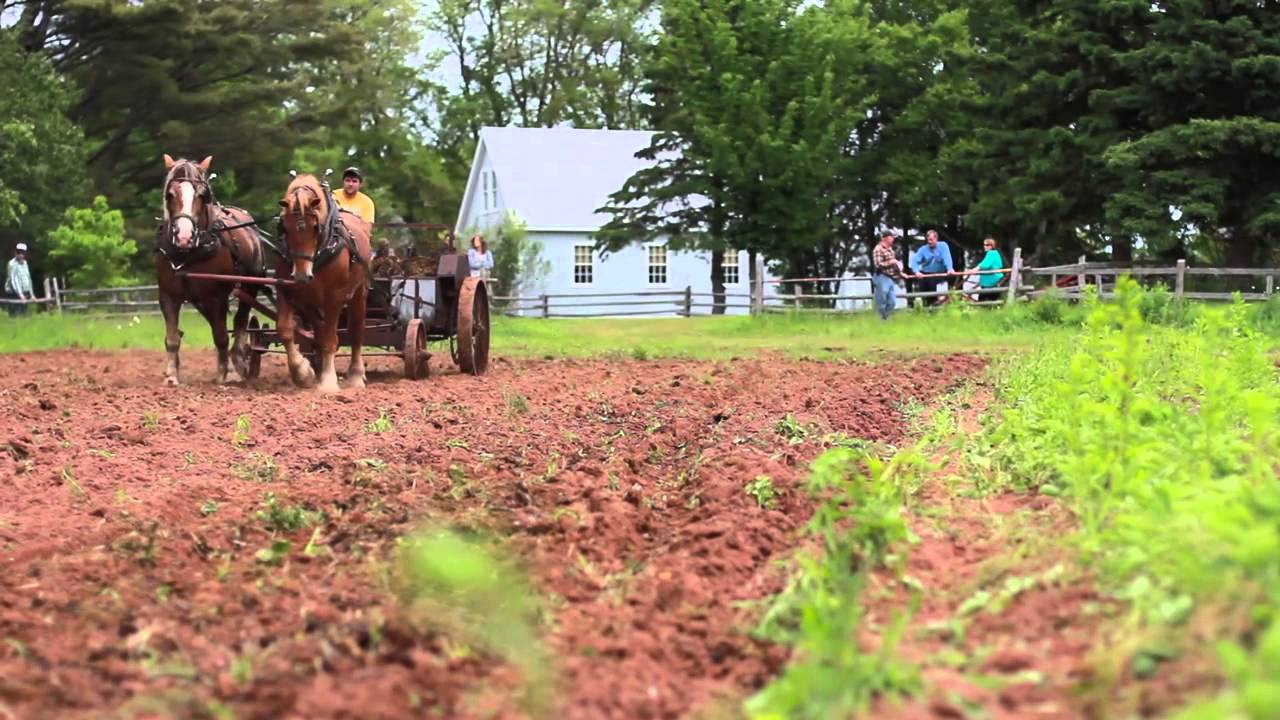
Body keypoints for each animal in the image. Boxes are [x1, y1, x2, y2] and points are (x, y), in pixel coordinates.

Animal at [156, 154, 268, 384]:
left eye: (202, 195)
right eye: (170, 194)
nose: (184, 236)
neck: (187, 254)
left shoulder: (217, 296)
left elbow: (221, 336)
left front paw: (225, 375)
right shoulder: (168, 295)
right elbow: (172, 338)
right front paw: (171, 376)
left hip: (249, 286)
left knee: (239, 322)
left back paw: (237, 364)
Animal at [272, 171, 368, 392]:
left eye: (316, 227)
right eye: (285, 227)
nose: (301, 275)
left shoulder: (335, 296)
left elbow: (330, 340)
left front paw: (328, 382)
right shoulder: (285, 289)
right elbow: (285, 330)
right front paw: (302, 373)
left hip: (358, 293)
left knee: (356, 330)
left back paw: (356, 375)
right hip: (310, 302)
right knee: (318, 329)